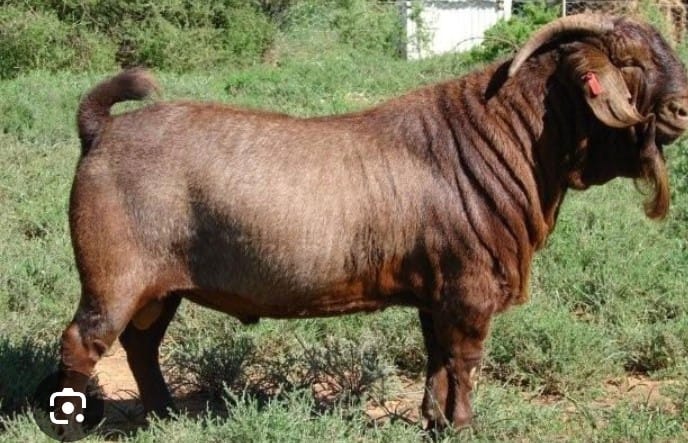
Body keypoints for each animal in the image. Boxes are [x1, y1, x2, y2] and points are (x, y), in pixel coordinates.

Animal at [57, 14, 688, 430]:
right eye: (631, 64)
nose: (683, 109)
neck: (502, 139)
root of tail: (101, 129)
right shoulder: (469, 290)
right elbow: (464, 361)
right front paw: (464, 425)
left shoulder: (436, 293)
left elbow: (436, 360)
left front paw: (435, 422)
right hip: (115, 275)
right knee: (85, 341)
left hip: (160, 288)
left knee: (141, 345)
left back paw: (167, 415)